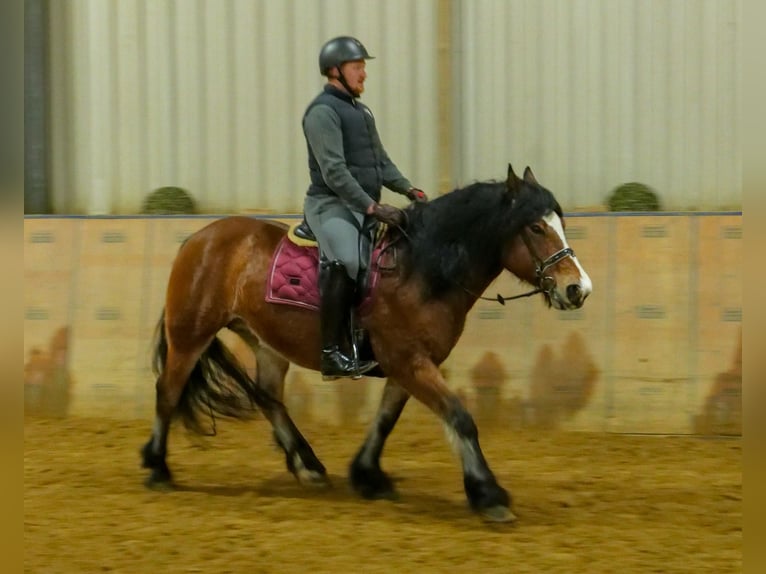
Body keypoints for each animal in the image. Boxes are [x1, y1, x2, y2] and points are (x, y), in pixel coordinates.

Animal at [141, 164, 592, 524]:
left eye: (558, 222)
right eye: (535, 227)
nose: (577, 289)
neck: (420, 269)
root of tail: (199, 238)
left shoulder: (409, 363)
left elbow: (386, 420)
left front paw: (367, 475)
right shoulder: (409, 362)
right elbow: (460, 417)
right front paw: (489, 495)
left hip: (266, 343)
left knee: (269, 398)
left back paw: (308, 466)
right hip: (190, 334)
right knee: (168, 391)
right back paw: (158, 468)